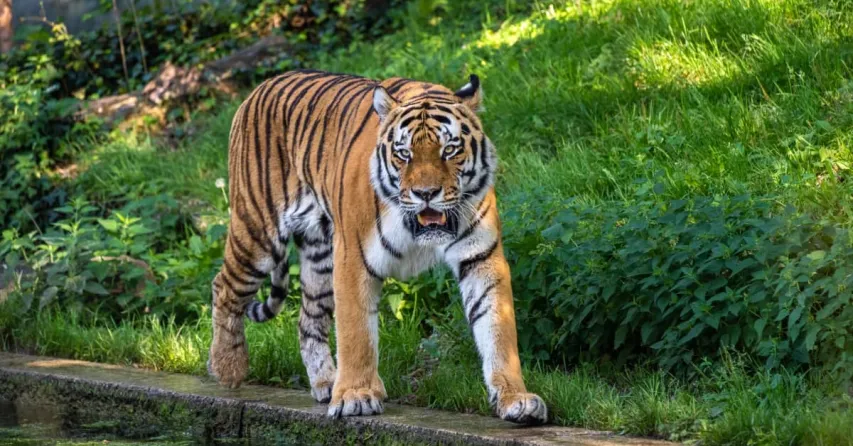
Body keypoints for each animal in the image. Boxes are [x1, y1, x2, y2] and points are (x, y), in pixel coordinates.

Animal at [207, 69, 548, 424]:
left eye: (449, 150)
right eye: (404, 153)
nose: (426, 194)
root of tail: (261, 86)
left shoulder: (481, 258)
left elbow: (498, 328)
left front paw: (516, 398)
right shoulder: (353, 258)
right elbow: (356, 332)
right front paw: (355, 396)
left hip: (319, 256)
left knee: (308, 320)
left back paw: (326, 383)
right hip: (259, 233)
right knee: (223, 286)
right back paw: (228, 368)